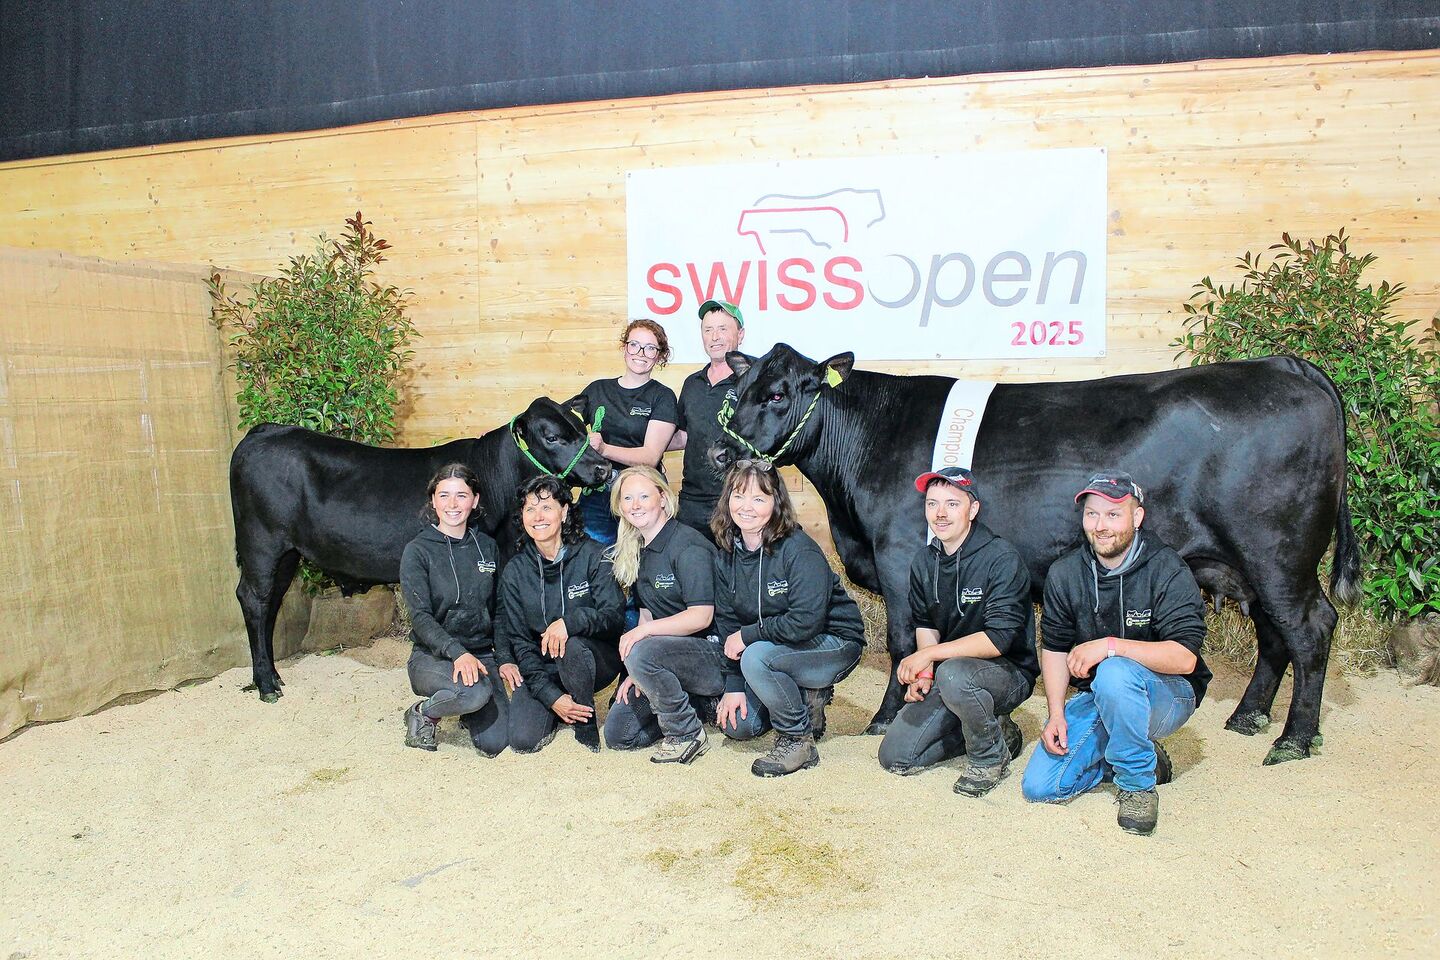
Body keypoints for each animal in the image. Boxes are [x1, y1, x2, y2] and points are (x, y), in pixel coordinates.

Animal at [229, 396, 610, 702]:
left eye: (582, 427)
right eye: (552, 437)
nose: (603, 467)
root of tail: (264, 431)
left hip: (287, 554)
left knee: (271, 601)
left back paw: (273, 675)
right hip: (261, 543)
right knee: (253, 599)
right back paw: (266, 685)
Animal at [710, 344, 1359, 765]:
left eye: (776, 394)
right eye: (736, 393)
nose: (718, 453)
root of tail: (1287, 364)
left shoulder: (898, 556)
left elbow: (900, 642)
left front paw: (886, 717)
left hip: (1278, 553)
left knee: (1310, 627)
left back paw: (1294, 739)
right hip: (1253, 565)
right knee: (1275, 634)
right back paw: (1249, 717)